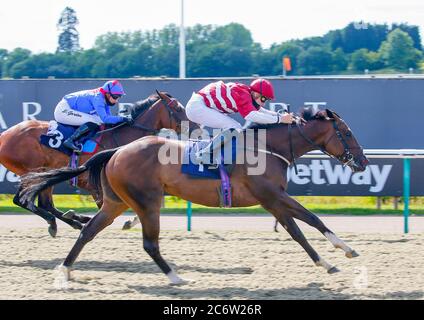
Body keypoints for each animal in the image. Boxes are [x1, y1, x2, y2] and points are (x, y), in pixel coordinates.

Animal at [0, 91, 195, 236]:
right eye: (177, 107)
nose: (194, 126)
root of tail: (4, 135)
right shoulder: (97, 185)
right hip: (32, 170)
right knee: (22, 200)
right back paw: (60, 221)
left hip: (45, 172)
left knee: (44, 203)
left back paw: (70, 221)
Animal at [17, 109, 368, 284]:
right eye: (347, 133)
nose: (363, 162)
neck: (267, 147)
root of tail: (116, 151)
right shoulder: (271, 198)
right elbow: (300, 228)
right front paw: (330, 260)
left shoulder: (275, 199)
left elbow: (311, 220)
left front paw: (343, 253)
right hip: (147, 202)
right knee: (149, 243)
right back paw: (175, 277)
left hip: (117, 202)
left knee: (89, 231)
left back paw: (65, 269)